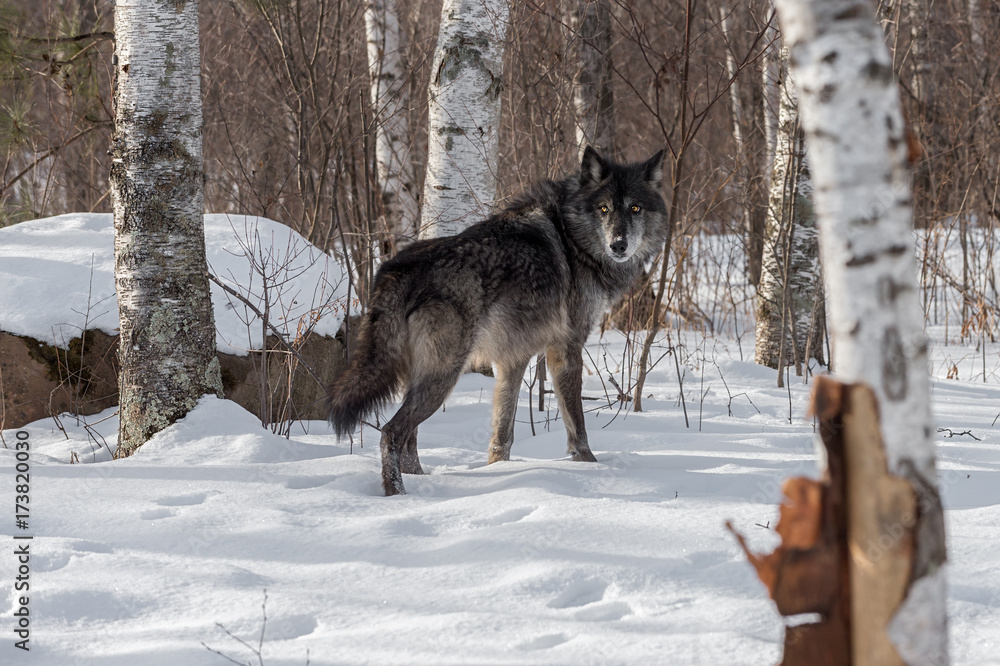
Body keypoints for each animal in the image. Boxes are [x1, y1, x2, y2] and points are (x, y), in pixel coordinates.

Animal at [327, 147, 667, 495]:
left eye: (635, 208)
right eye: (604, 209)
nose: (619, 245)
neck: (573, 237)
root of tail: (397, 268)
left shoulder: (512, 359)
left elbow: (502, 432)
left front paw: (497, 468)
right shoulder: (566, 349)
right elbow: (577, 425)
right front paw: (590, 467)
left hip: (425, 378)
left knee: (409, 437)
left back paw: (419, 481)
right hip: (442, 377)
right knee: (391, 432)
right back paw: (399, 494)